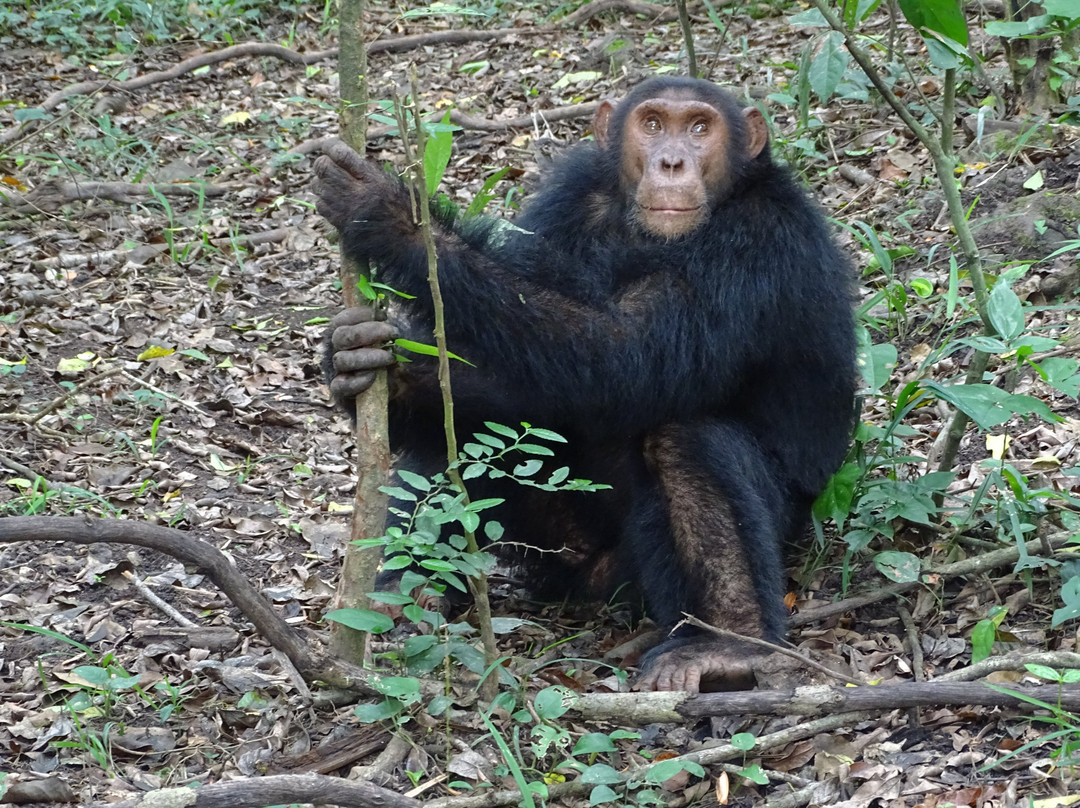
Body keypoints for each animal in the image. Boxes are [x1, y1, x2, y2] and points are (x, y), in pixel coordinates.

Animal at [315, 78, 855, 691]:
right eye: (652, 124)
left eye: (700, 128)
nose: (671, 161)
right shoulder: (570, 198)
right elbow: (529, 381)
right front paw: (366, 360)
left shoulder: (758, 239)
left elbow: (621, 351)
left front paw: (390, 217)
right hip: (549, 544)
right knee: (458, 435)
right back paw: (410, 590)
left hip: (640, 570)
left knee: (687, 438)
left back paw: (728, 643)